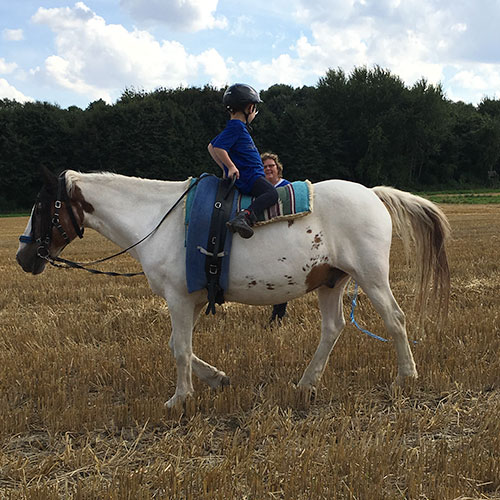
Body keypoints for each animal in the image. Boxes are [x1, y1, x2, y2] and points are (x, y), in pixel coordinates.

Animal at [17, 168, 452, 406]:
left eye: (42, 204)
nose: (23, 257)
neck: (157, 219)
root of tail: (373, 194)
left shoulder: (178, 298)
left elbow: (180, 349)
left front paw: (180, 398)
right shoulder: (191, 300)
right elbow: (180, 346)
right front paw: (215, 379)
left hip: (371, 277)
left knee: (395, 320)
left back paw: (405, 377)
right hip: (330, 281)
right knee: (332, 329)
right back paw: (306, 383)